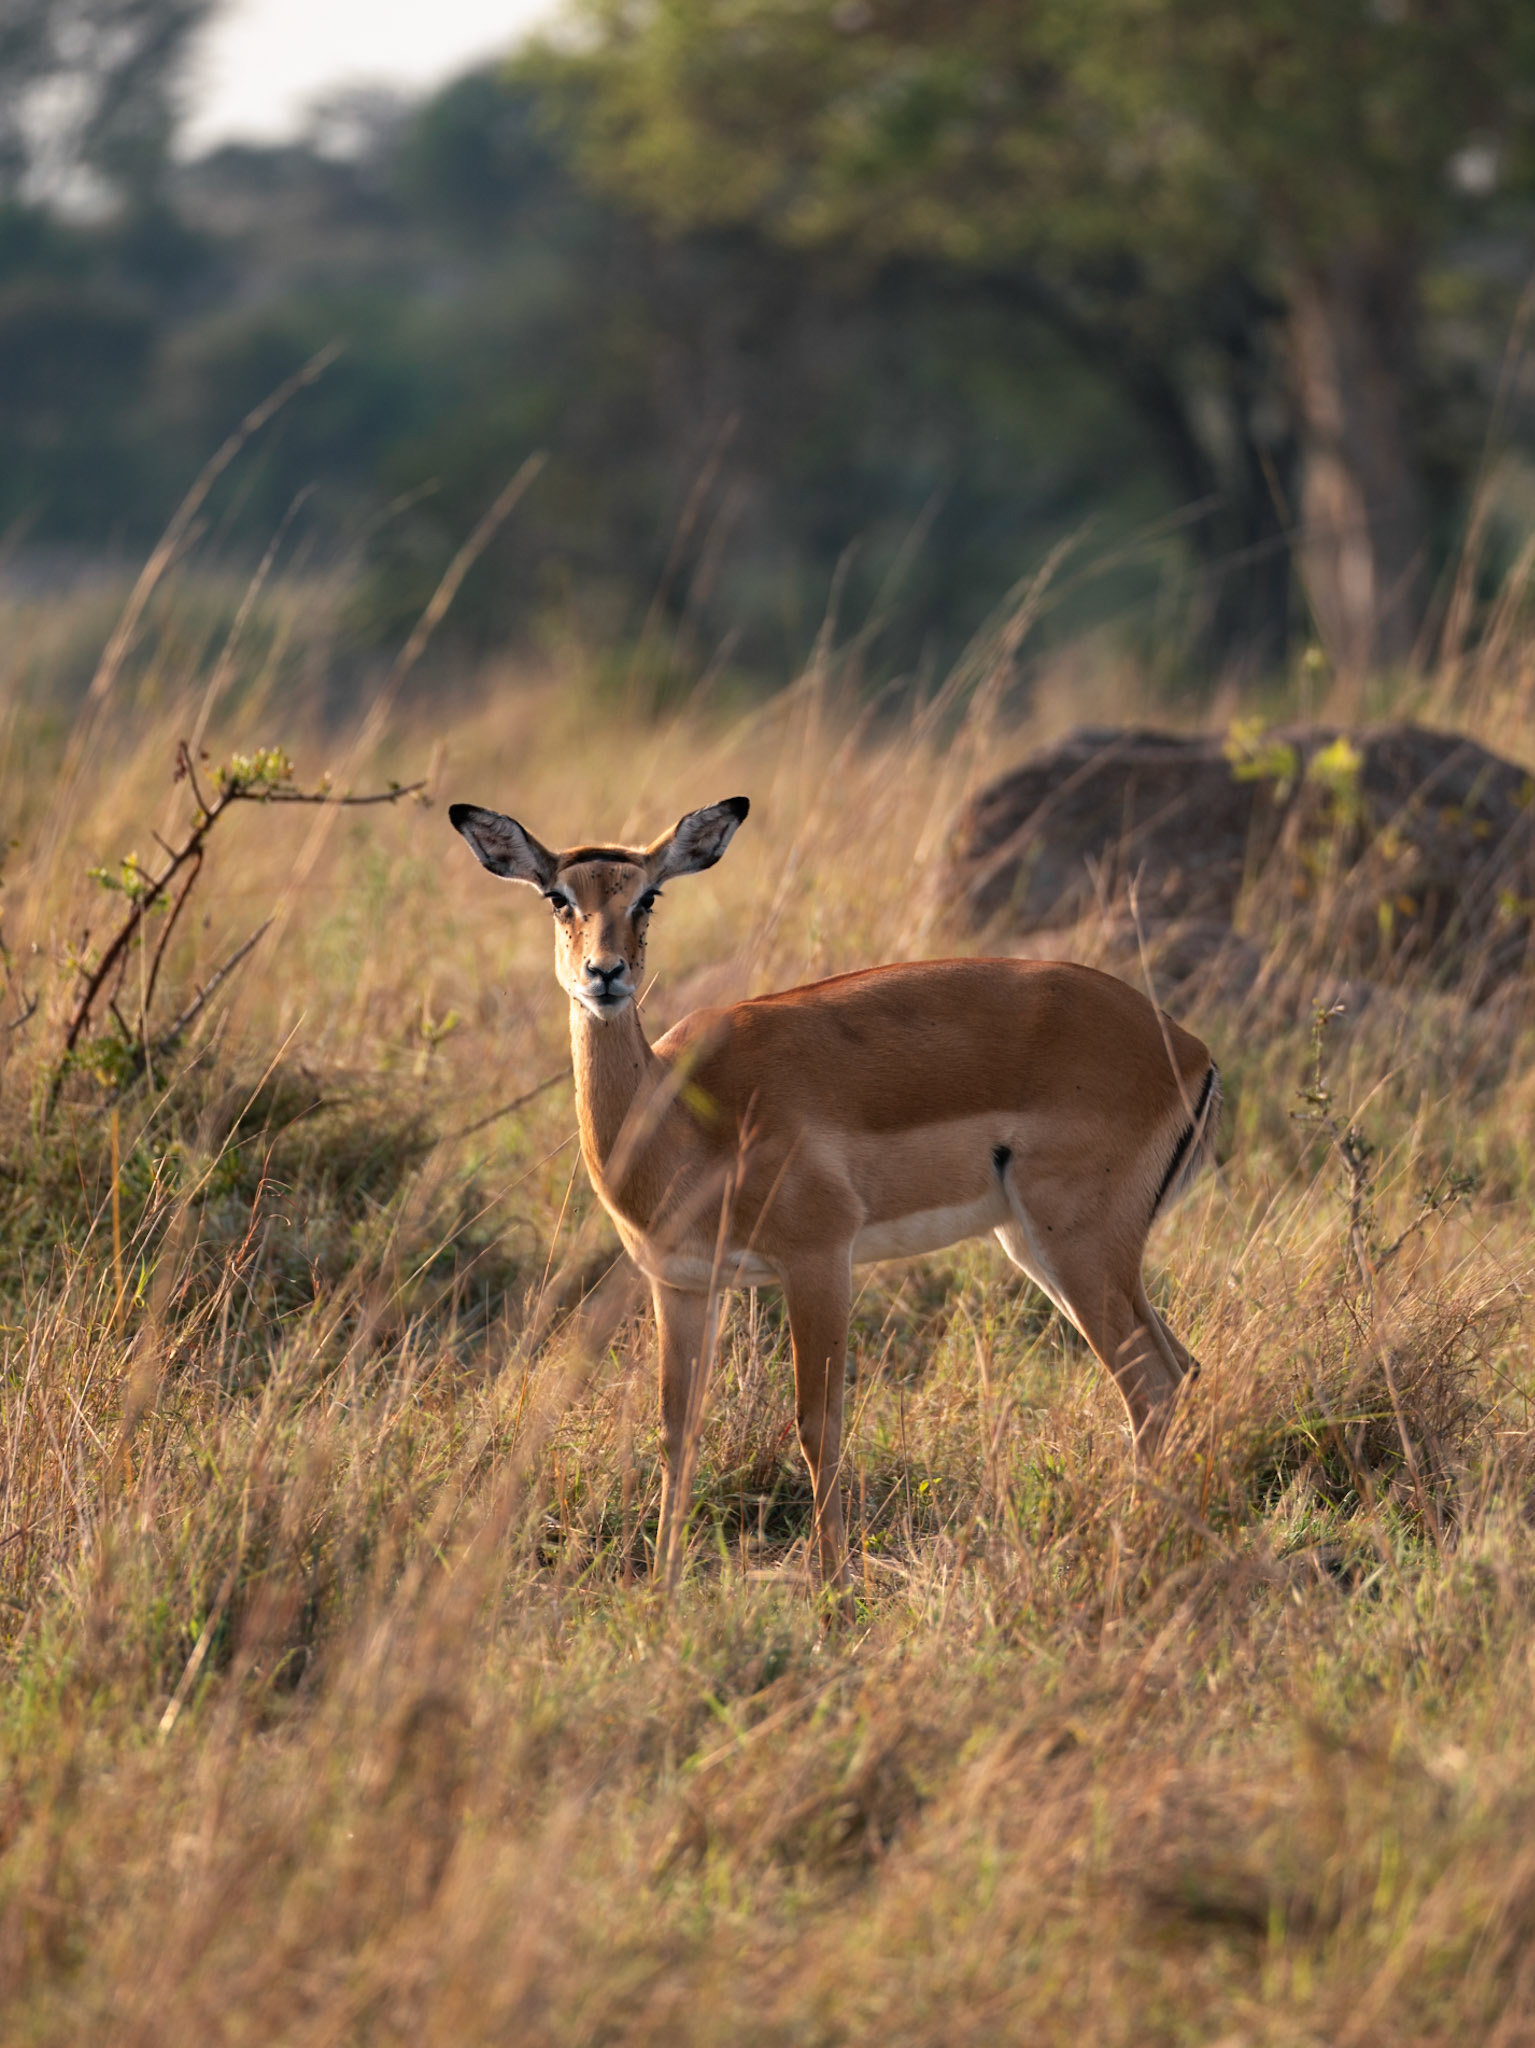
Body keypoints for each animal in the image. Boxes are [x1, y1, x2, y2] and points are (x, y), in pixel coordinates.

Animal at [450, 795, 1220, 1588]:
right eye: (557, 897)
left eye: (647, 897)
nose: (605, 974)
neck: (685, 1114)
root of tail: (1188, 1048)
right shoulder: (683, 1284)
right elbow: (676, 1427)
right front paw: (662, 1586)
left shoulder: (817, 1260)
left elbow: (819, 1424)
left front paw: (832, 1587)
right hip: (1044, 1253)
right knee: (1183, 1373)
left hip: (1079, 1252)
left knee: (1152, 1390)